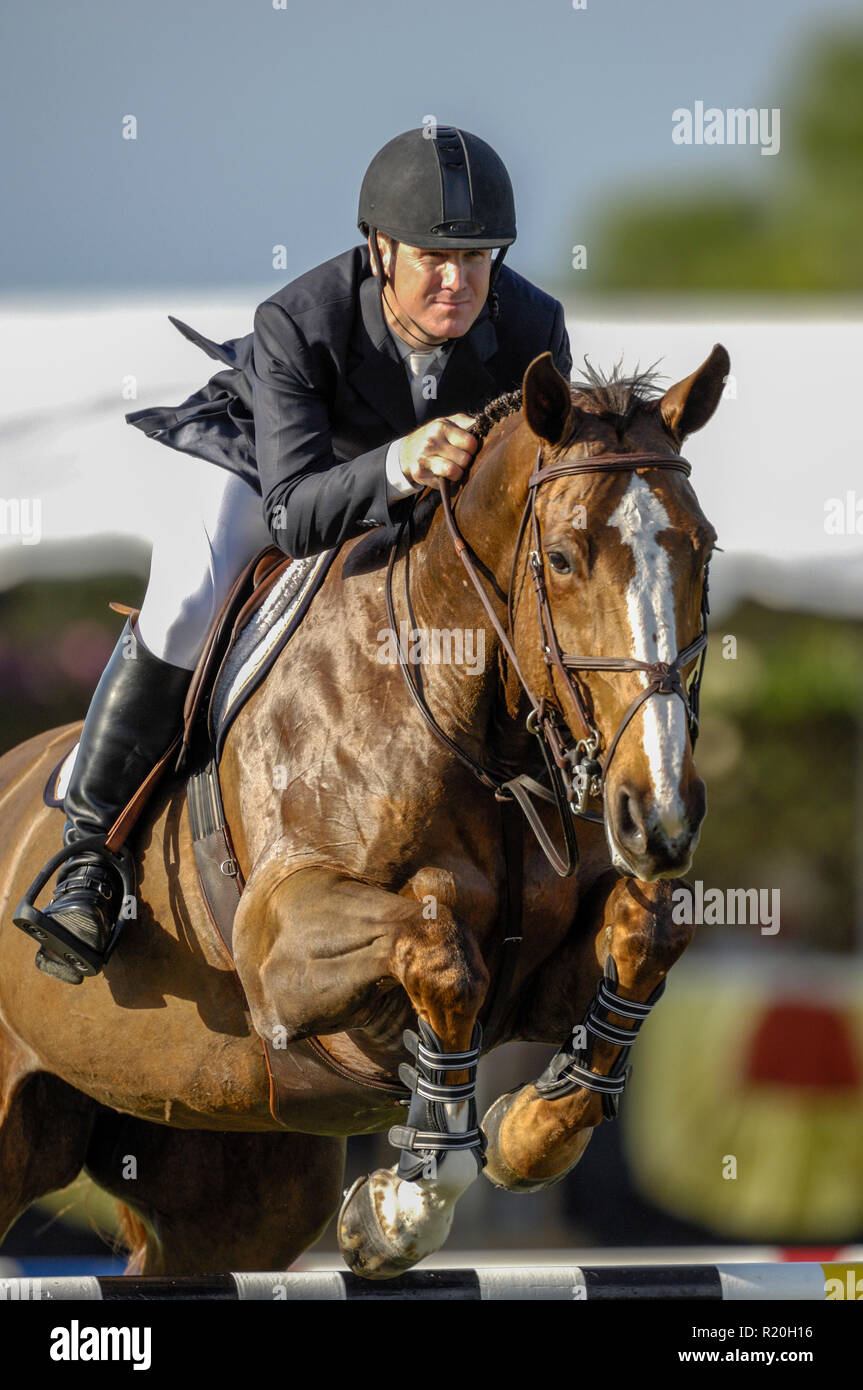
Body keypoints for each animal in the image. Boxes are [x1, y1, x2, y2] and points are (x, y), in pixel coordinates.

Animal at [0, 347, 728, 1278]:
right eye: (563, 559)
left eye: (702, 549)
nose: (655, 813)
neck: (475, 728)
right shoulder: (276, 951)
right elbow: (438, 948)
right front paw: (403, 1203)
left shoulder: (544, 973)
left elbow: (646, 935)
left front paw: (523, 1133)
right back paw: (79, 903)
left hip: (232, 1185)